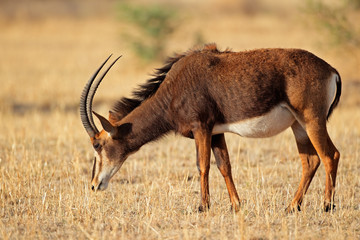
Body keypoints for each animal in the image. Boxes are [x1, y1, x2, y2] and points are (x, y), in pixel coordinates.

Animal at [80, 44, 342, 212]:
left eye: (97, 144)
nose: (94, 185)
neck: (174, 88)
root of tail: (331, 70)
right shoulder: (217, 133)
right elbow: (224, 166)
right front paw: (236, 205)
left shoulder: (202, 127)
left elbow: (202, 165)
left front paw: (203, 206)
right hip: (298, 126)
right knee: (311, 161)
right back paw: (292, 206)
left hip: (312, 120)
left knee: (330, 155)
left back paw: (327, 206)